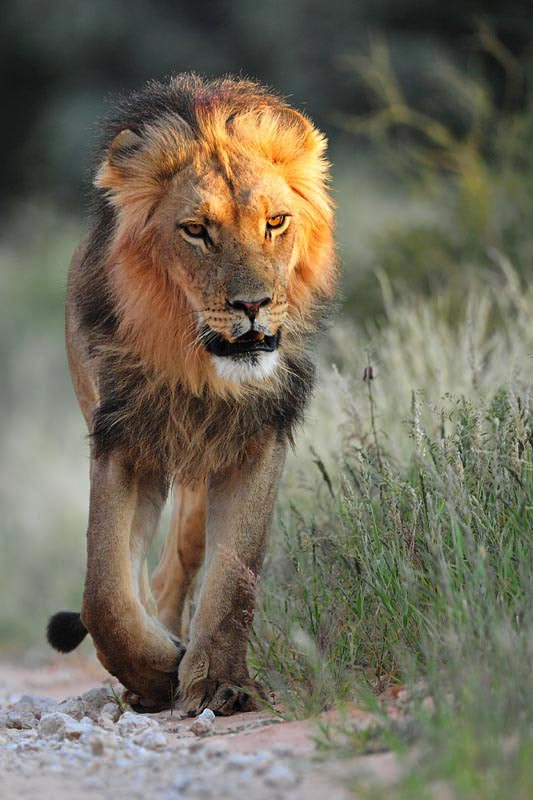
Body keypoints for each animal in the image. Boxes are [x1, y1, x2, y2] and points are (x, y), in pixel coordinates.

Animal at [46, 73, 336, 712]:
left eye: (276, 222)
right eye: (197, 231)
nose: (252, 305)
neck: (199, 368)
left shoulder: (259, 438)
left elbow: (236, 575)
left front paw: (220, 682)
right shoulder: (123, 441)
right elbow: (104, 595)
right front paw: (153, 674)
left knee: (177, 567)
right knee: (141, 581)